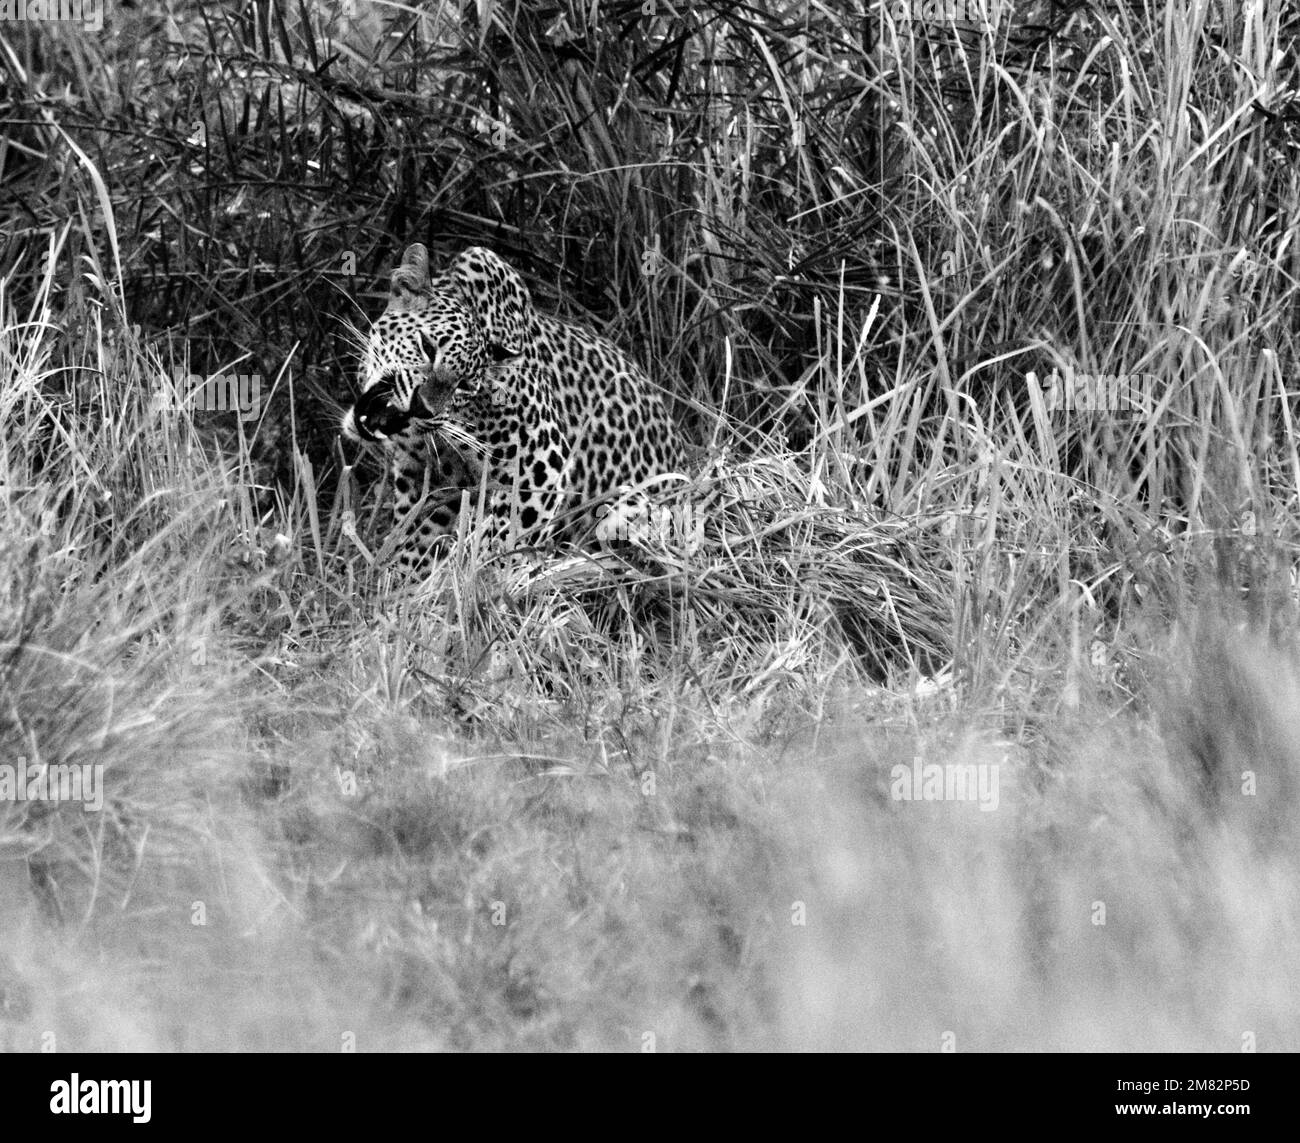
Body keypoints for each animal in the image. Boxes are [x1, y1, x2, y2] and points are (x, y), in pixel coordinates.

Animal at [340, 245, 686, 577]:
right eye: (427, 346)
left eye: (464, 385)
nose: (422, 408)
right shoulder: (431, 481)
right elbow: (416, 542)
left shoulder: (542, 458)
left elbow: (505, 540)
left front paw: (481, 585)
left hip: (632, 505)